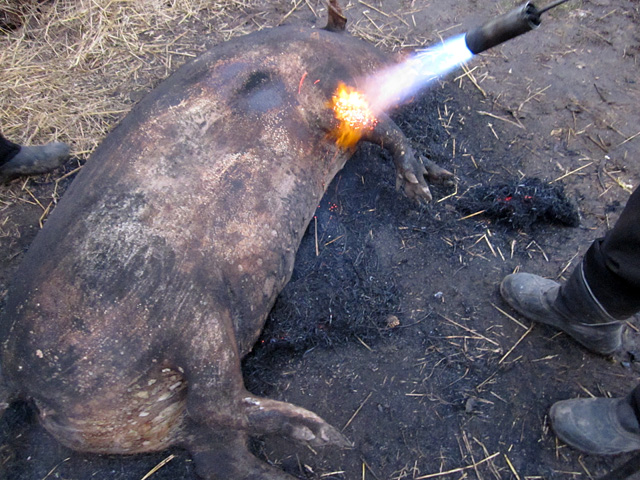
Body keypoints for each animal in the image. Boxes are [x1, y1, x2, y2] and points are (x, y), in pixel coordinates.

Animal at [0, 1, 452, 478]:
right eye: (367, 40)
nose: (415, 54)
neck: (318, 45)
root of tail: (17, 379)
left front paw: (440, 177)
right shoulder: (328, 95)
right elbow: (383, 128)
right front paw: (422, 192)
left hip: (167, 398)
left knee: (219, 451)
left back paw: (291, 463)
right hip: (191, 320)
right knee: (218, 404)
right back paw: (328, 436)